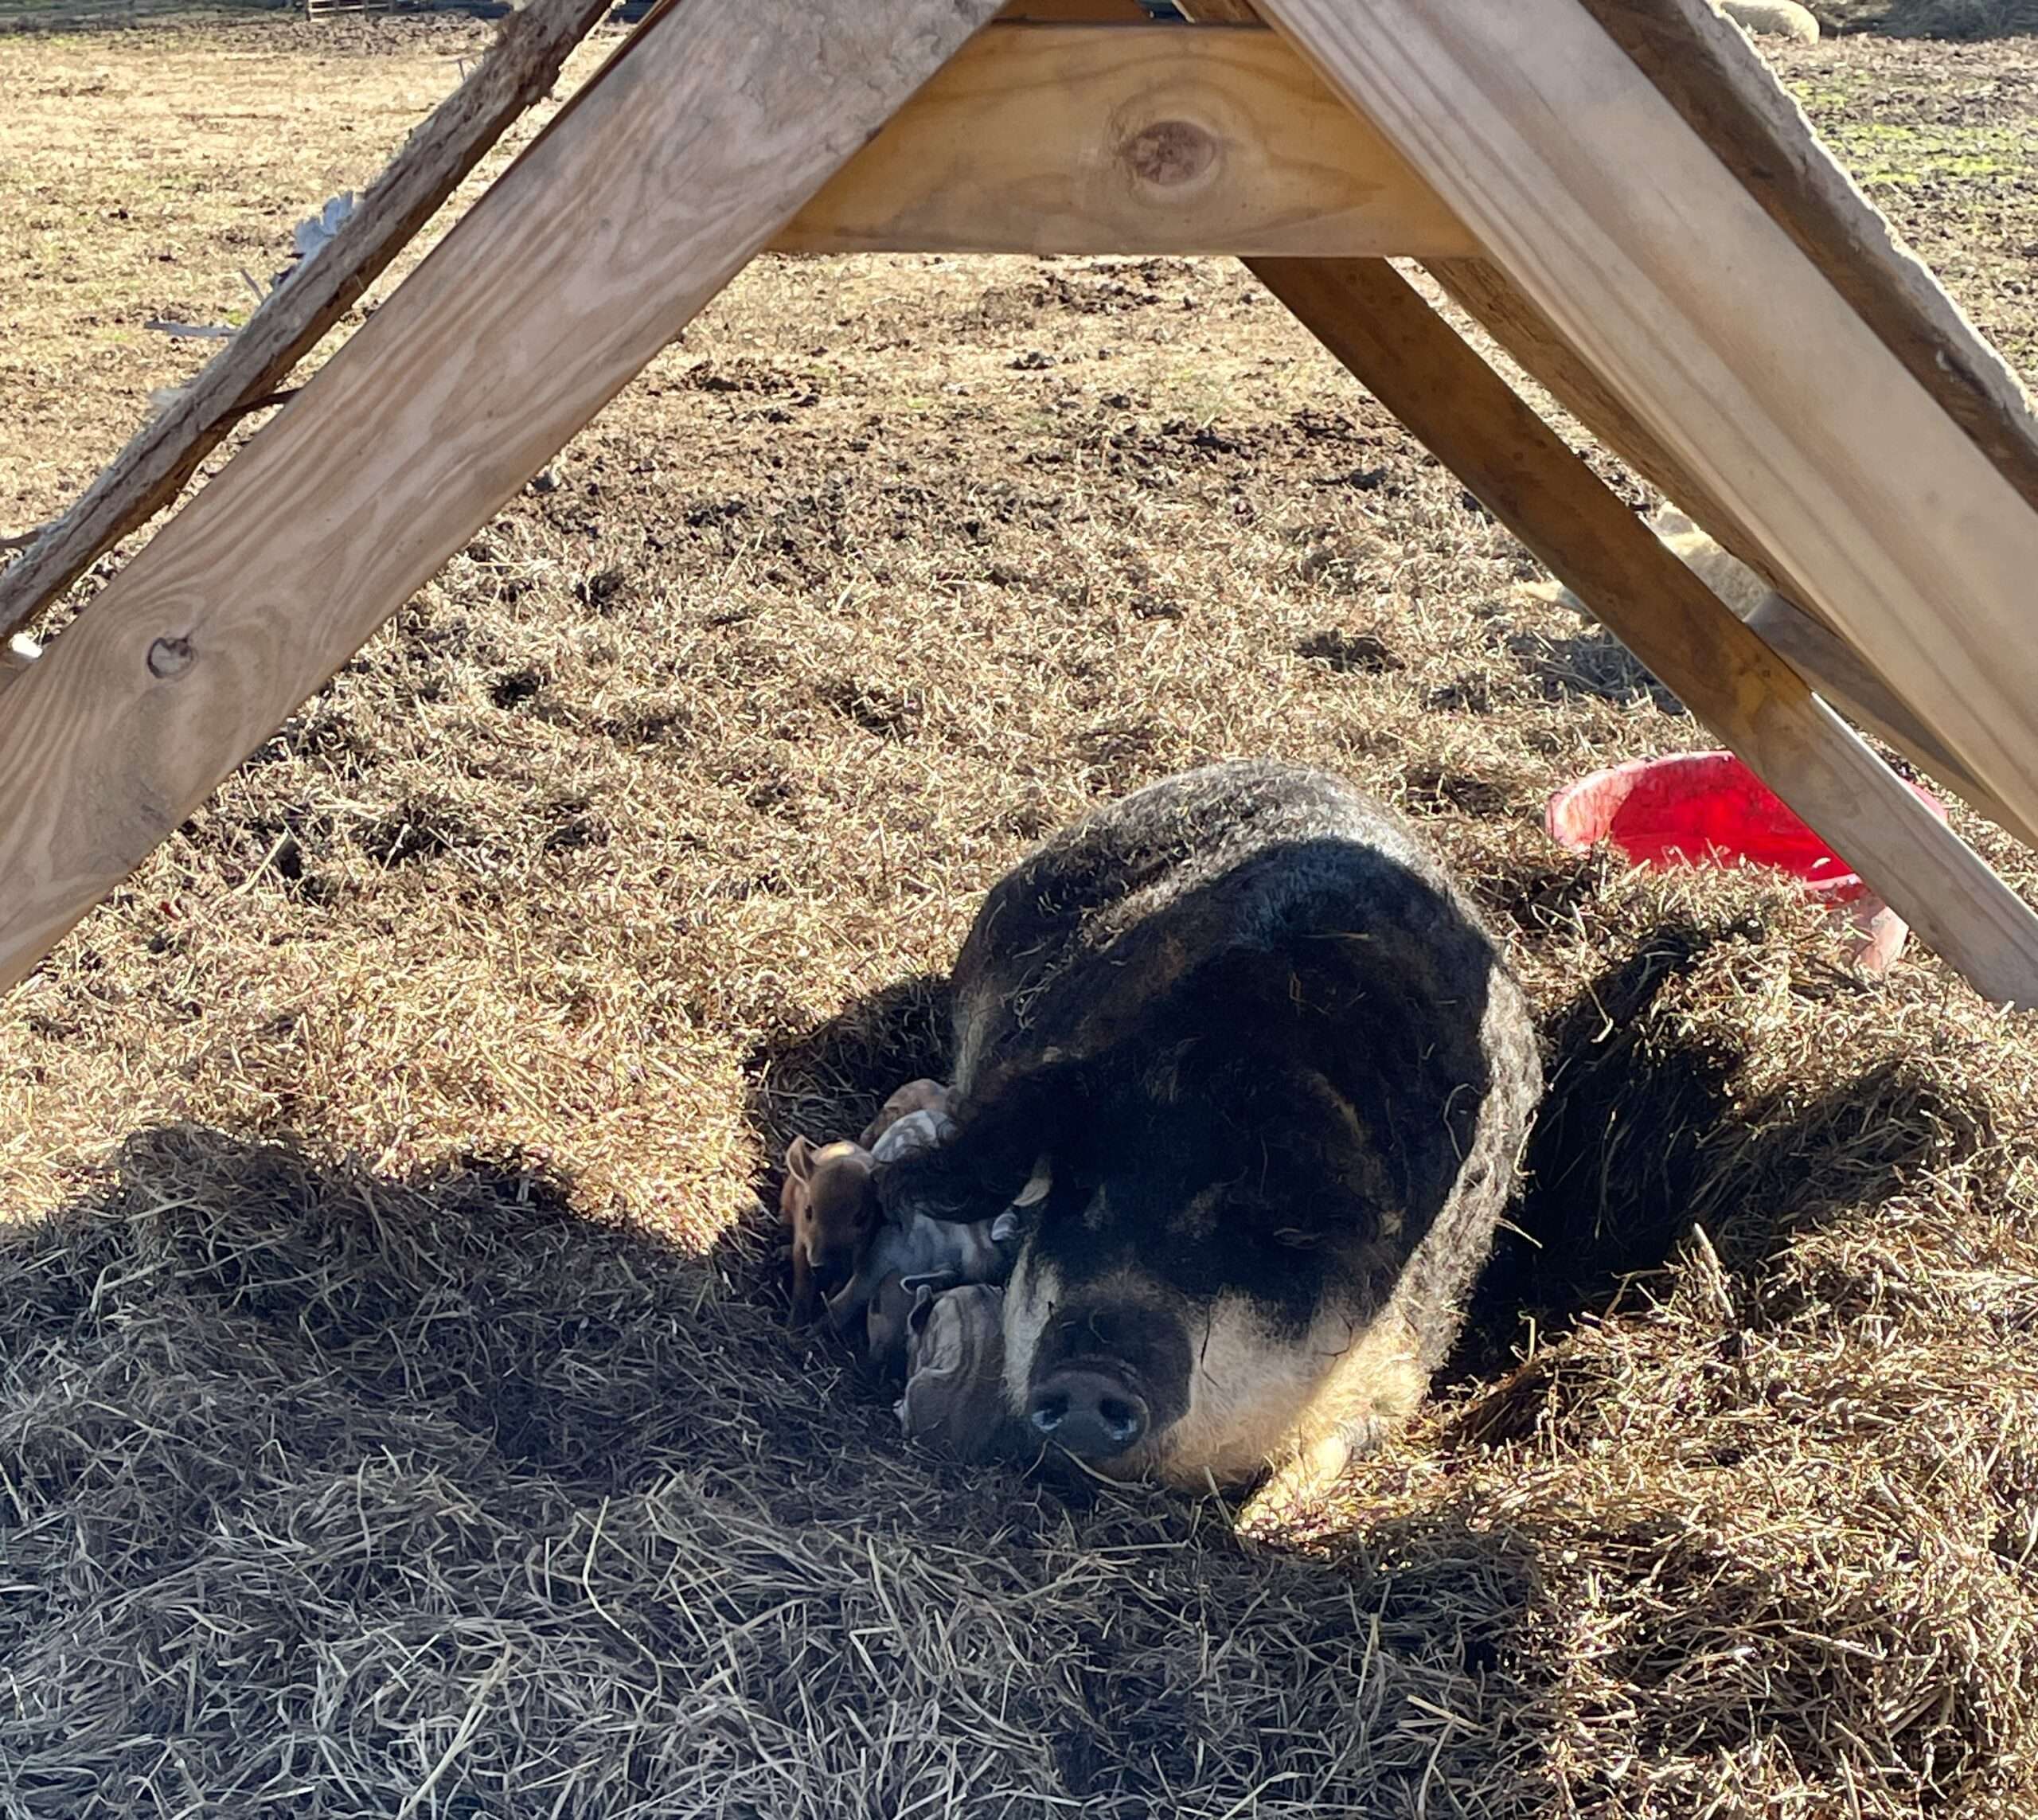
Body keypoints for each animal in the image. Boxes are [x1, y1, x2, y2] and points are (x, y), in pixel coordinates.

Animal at [876, 760, 1543, 1502]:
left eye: (1250, 1218)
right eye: (1077, 1186)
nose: (1090, 1377)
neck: (1222, 1067)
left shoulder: (1405, 1359)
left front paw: (1265, 1514)